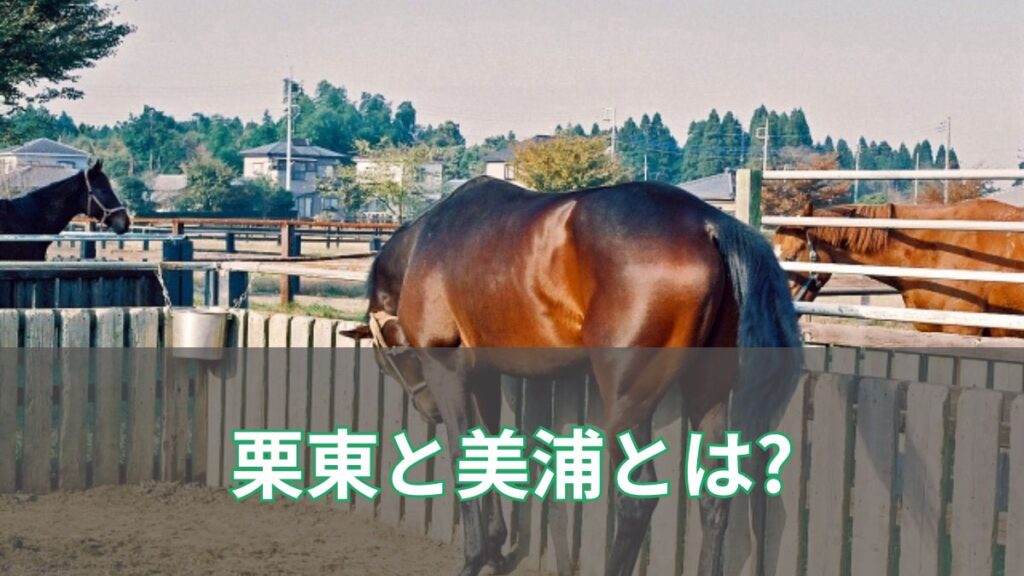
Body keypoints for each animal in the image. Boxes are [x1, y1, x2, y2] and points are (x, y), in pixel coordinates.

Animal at [342, 176, 801, 576]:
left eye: (388, 359)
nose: (429, 410)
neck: (427, 243)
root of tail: (707, 223)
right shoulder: (486, 374)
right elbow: (489, 448)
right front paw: (495, 549)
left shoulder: (447, 370)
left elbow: (463, 456)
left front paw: (474, 559)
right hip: (707, 392)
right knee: (715, 495)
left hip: (627, 403)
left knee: (636, 500)